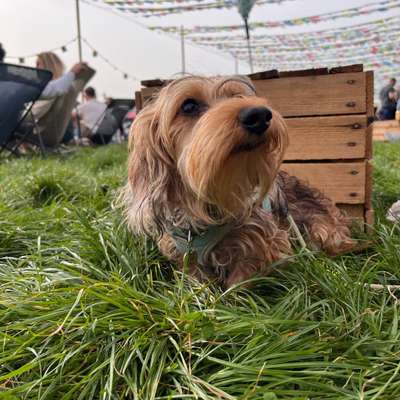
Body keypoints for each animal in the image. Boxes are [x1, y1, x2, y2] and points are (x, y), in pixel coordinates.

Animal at [122, 76, 354, 288]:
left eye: (236, 96)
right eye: (188, 106)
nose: (259, 115)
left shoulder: (261, 244)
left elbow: (239, 282)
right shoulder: (186, 255)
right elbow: (198, 280)